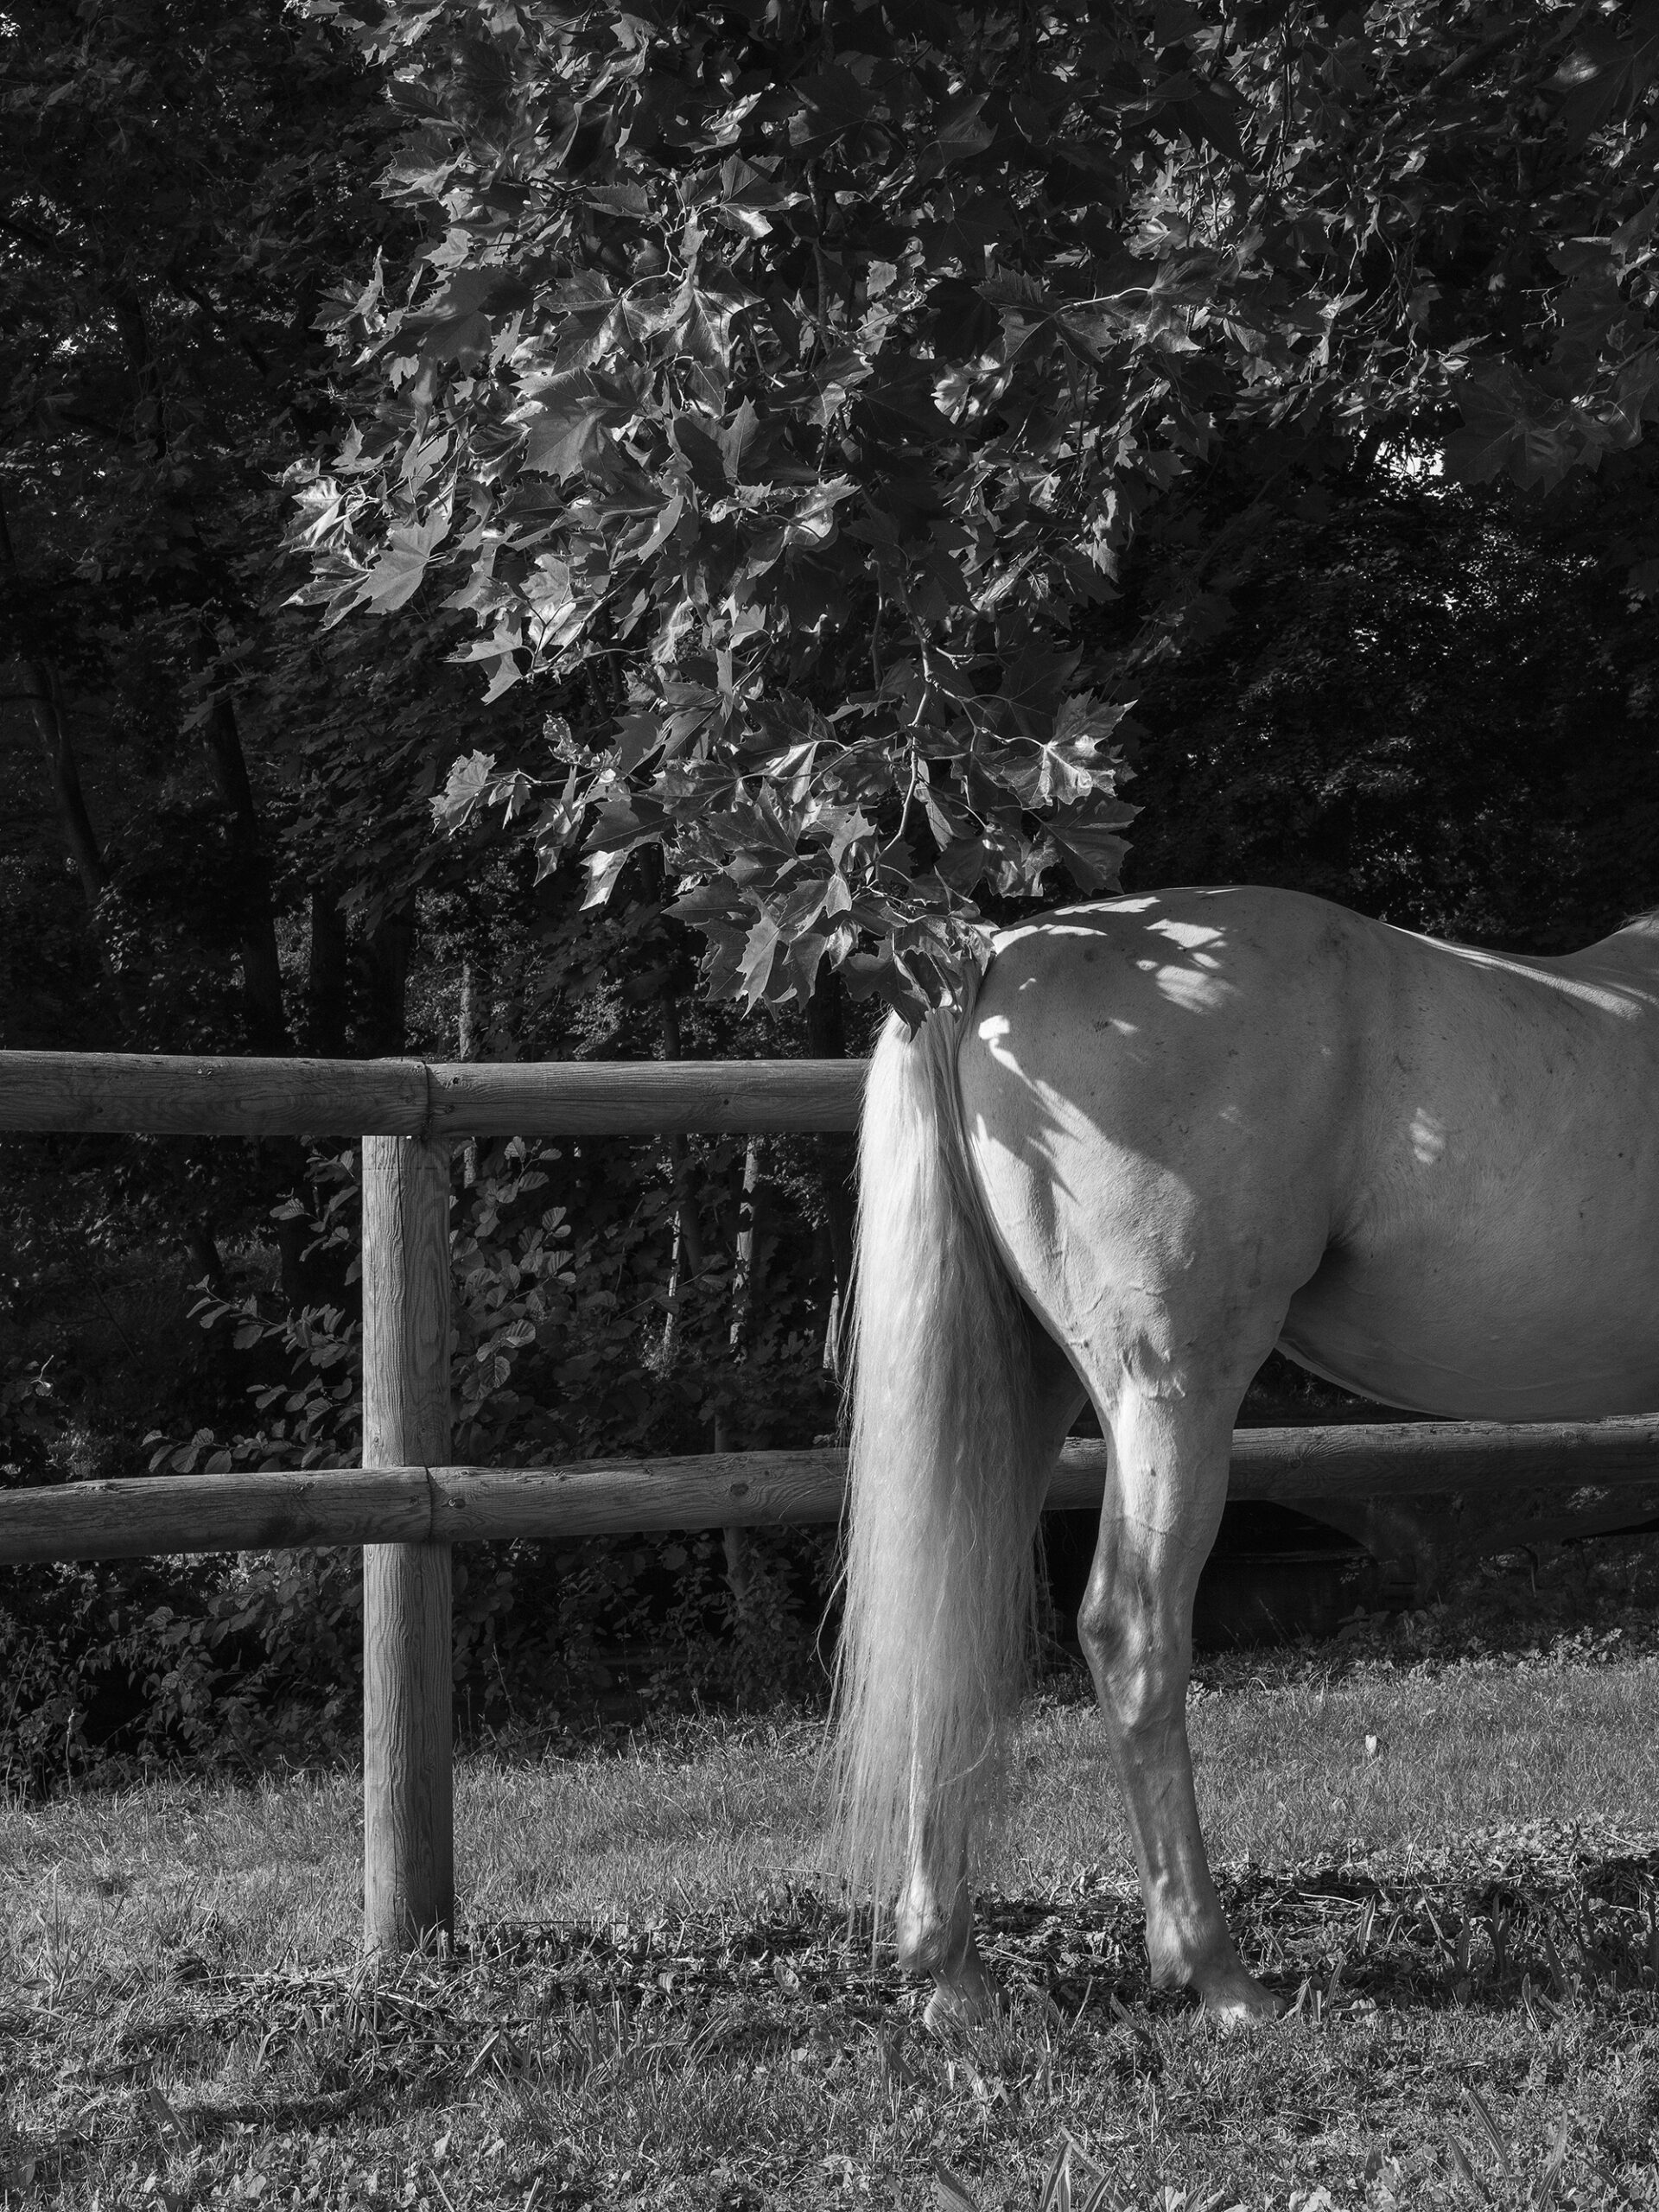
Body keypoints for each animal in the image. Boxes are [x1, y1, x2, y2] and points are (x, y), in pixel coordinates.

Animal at [834, 884, 1659, 2027]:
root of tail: (989, 958)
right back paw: (1215, 1972)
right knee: (1132, 1630)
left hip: (1025, 1386)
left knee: (949, 1604)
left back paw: (951, 1968)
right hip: (1172, 1393)